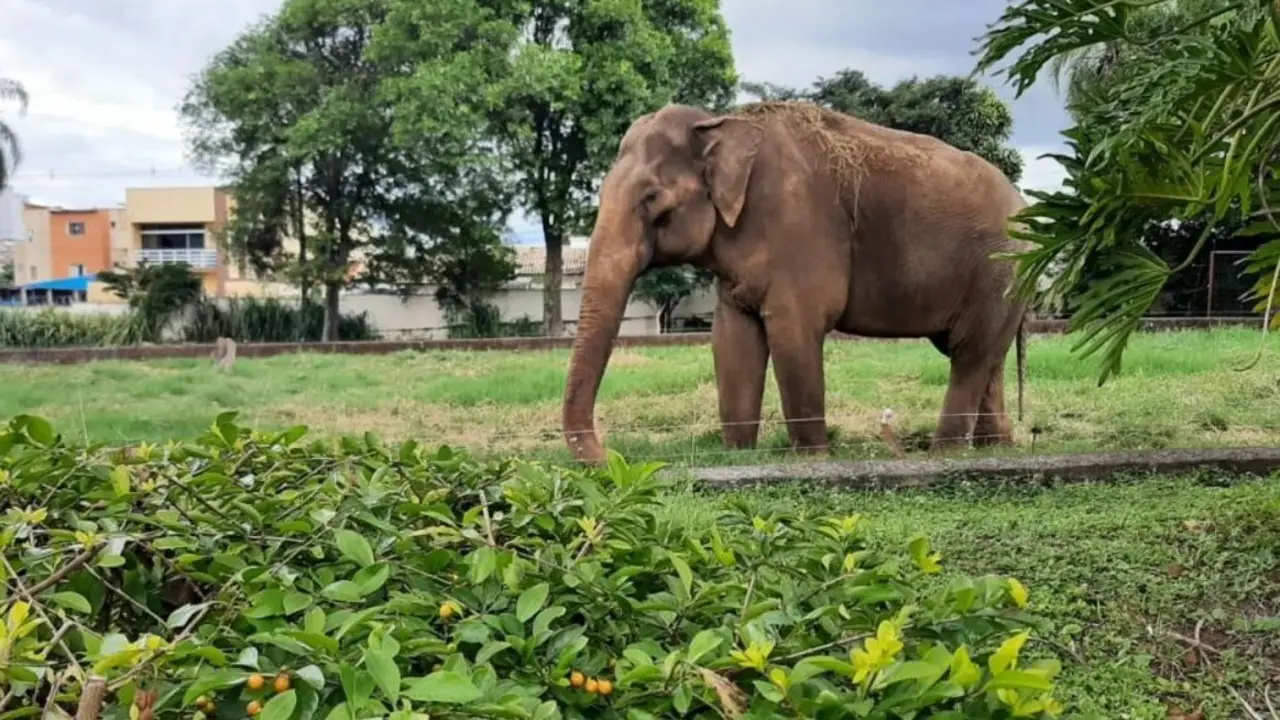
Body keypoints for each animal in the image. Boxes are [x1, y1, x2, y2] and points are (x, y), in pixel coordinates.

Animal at [561, 100, 1031, 464]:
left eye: (651, 199)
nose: (611, 457)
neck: (723, 123)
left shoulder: (798, 229)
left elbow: (794, 334)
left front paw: (813, 459)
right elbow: (731, 340)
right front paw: (738, 456)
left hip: (999, 270)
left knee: (969, 354)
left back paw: (945, 453)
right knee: (981, 355)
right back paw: (995, 447)